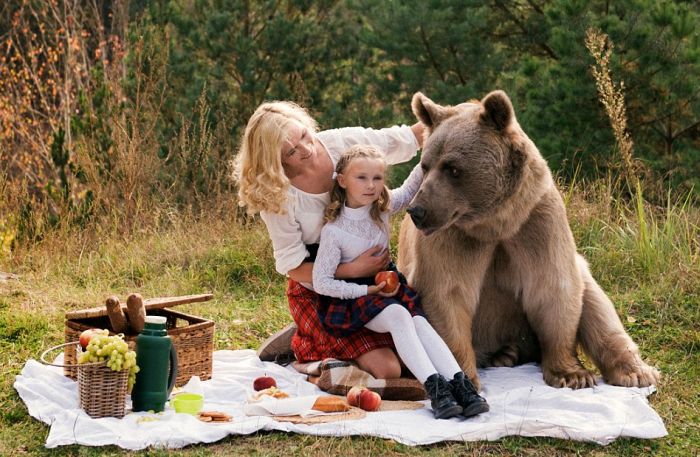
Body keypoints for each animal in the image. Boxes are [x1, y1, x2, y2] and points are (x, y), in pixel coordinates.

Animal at [400, 89, 660, 388]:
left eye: (453, 168)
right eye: (425, 166)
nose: (418, 211)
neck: (495, 223)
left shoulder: (535, 222)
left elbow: (553, 286)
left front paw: (572, 374)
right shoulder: (454, 238)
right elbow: (446, 294)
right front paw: (463, 376)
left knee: (597, 303)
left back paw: (635, 371)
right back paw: (505, 354)